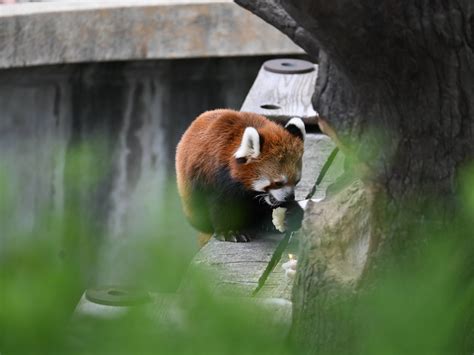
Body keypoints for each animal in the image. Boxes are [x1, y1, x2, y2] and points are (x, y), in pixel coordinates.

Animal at [176, 110, 306, 243]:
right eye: (278, 183)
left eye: (296, 181)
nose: (290, 197)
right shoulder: (217, 177)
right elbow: (222, 204)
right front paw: (230, 231)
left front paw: (291, 214)